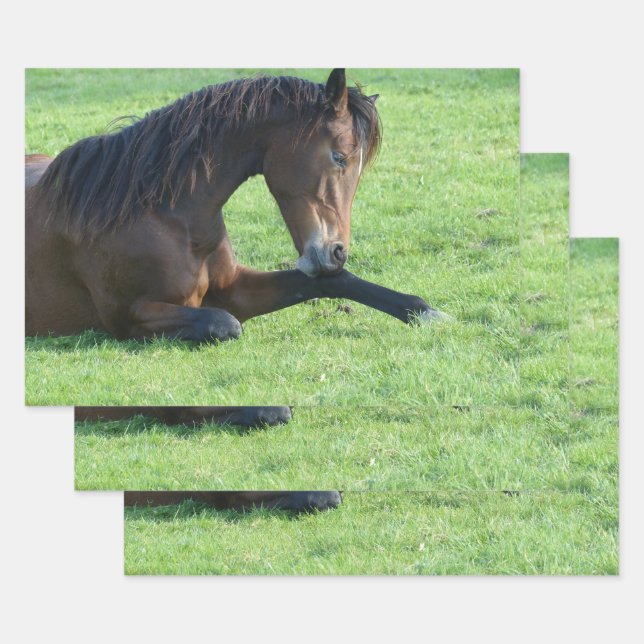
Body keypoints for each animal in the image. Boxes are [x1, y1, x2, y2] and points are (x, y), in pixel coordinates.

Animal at [26, 69, 442, 342]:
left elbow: (336, 282)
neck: (165, 216)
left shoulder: (235, 287)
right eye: (339, 157)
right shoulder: (128, 317)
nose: (337, 251)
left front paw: (427, 312)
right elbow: (223, 323)